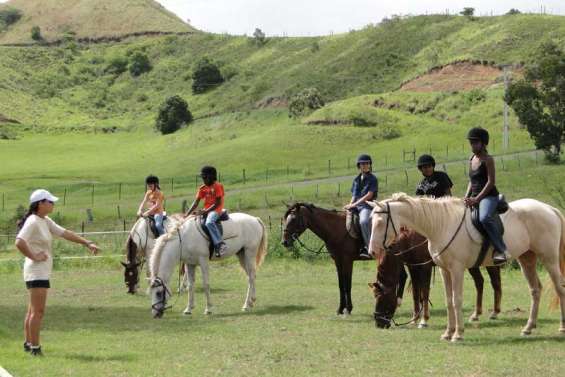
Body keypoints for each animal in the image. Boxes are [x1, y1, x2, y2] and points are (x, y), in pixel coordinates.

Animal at [280, 203, 408, 314]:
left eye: (294, 219)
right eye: (286, 219)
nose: (284, 242)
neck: (336, 229)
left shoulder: (347, 261)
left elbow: (348, 285)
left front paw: (348, 308)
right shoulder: (337, 261)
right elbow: (341, 285)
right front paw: (341, 309)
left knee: (402, 276)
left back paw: (397, 302)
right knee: (402, 276)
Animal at [370, 228, 502, 328]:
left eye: (381, 297)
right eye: (375, 296)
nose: (378, 323)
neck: (410, 241)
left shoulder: (425, 267)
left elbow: (425, 293)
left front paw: (424, 320)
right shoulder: (414, 268)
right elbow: (416, 294)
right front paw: (414, 319)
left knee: (495, 282)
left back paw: (495, 312)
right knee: (480, 282)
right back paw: (476, 314)